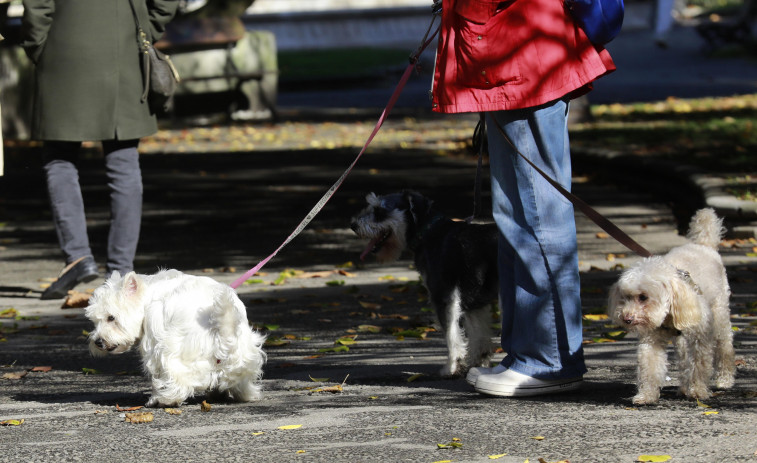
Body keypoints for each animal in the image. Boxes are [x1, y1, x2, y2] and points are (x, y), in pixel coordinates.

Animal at [83, 270, 264, 408]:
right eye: (94, 321)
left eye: (111, 318)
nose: (98, 342)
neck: (148, 296)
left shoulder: (154, 343)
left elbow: (158, 376)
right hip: (243, 356)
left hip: (173, 351)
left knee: (179, 380)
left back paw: (164, 400)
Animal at [608, 208, 732, 404]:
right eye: (625, 297)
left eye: (643, 297)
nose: (627, 319)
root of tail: (703, 245)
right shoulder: (651, 338)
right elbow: (649, 366)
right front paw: (646, 395)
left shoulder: (700, 337)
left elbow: (699, 364)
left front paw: (697, 391)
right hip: (681, 341)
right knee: (683, 359)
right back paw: (683, 387)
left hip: (720, 313)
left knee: (724, 345)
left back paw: (725, 379)